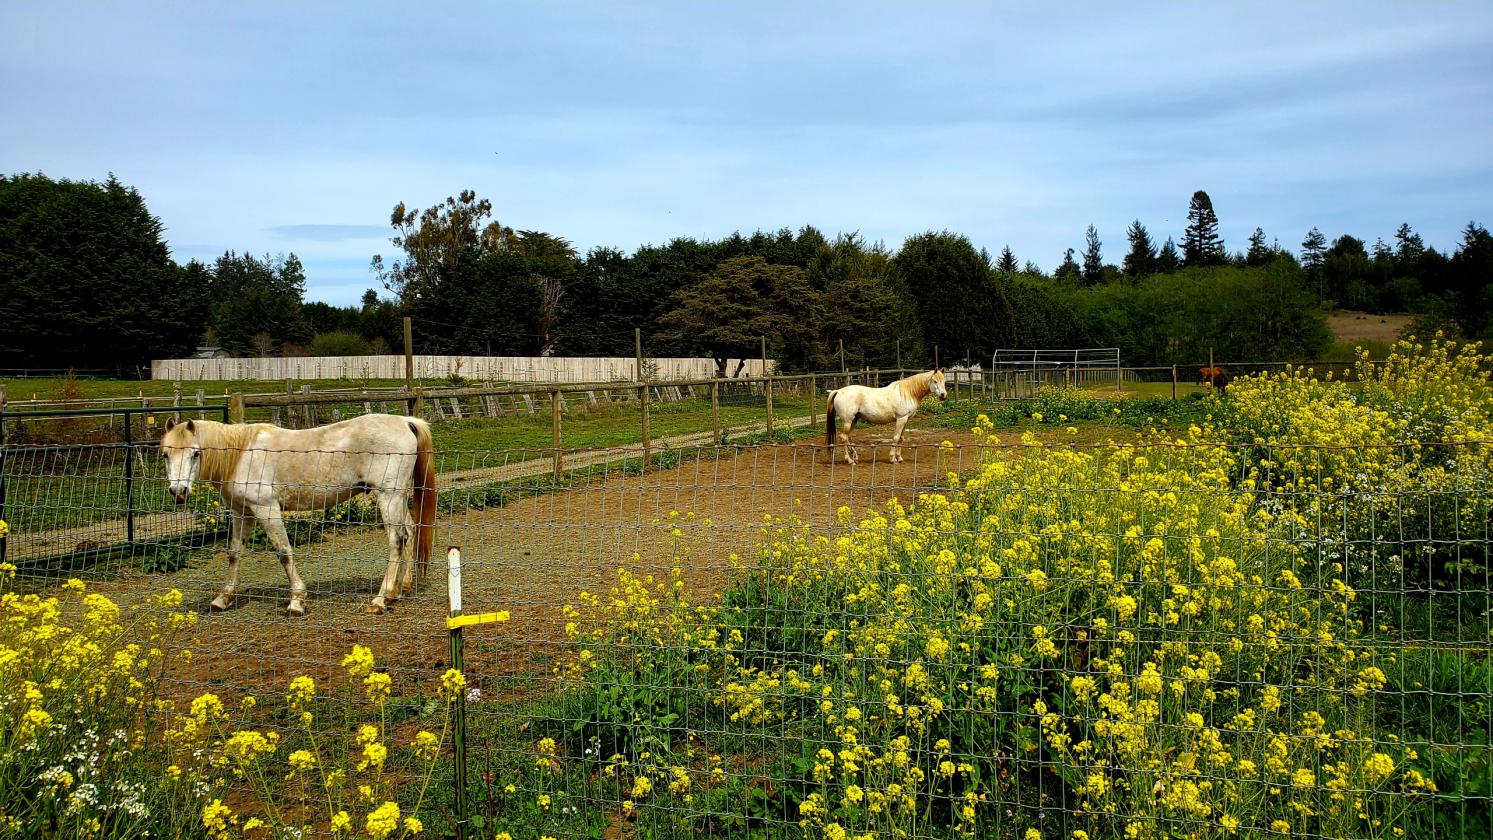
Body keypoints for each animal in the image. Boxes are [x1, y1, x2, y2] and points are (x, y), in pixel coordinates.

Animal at [158, 414, 436, 616]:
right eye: (165, 454)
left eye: (195, 453)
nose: (178, 492)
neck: (240, 454)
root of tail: (405, 421)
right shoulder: (241, 513)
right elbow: (234, 554)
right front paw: (222, 599)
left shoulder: (267, 509)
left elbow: (284, 553)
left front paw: (297, 601)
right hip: (396, 499)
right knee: (409, 534)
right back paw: (397, 591)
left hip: (388, 497)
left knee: (396, 541)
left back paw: (379, 600)